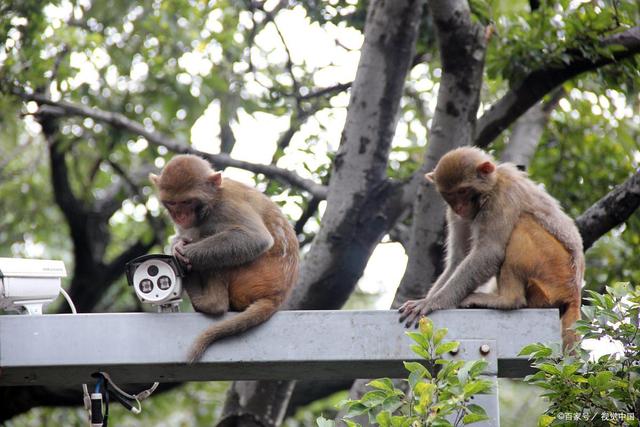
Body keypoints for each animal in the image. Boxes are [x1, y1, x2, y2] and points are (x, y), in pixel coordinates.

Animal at [150, 155, 300, 362]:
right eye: (172, 203)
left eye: (187, 202)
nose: (180, 215)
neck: (212, 201)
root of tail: (279, 295)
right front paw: (177, 243)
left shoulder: (227, 206)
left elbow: (256, 238)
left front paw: (180, 253)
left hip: (255, 276)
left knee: (219, 257)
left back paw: (211, 302)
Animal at [400, 145, 584, 350]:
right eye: (450, 195)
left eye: (463, 191)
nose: (459, 207)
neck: (490, 187)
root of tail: (574, 294)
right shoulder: (455, 214)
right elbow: (459, 258)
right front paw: (429, 298)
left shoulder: (502, 197)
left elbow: (489, 252)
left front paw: (432, 302)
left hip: (554, 269)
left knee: (522, 222)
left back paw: (507, 300)